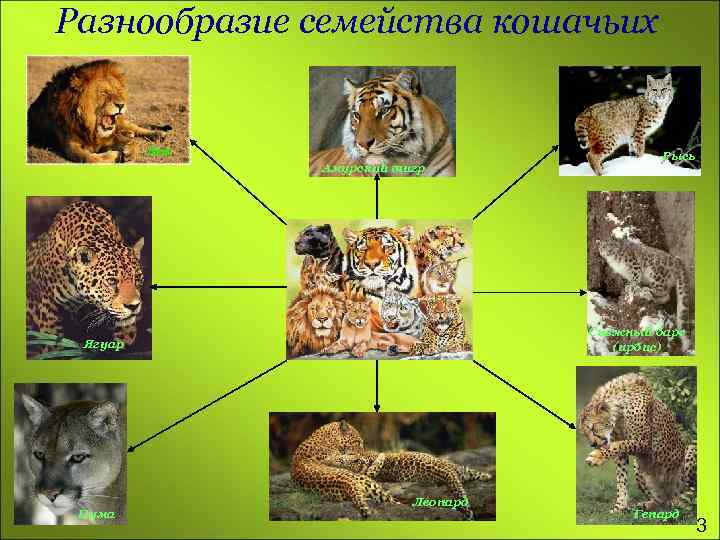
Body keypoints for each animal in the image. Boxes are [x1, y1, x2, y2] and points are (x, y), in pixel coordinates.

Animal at [28, 59, 171, 163]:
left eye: (119, 91)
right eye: (104, 92)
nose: (121, 104)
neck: (90, 128)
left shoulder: (107, 138)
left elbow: (133, 143)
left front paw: (129, 150)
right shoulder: (70, 145)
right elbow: (89, 158)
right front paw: (112, 155)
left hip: (122, 123)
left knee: (135, 127)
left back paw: (158, 134)